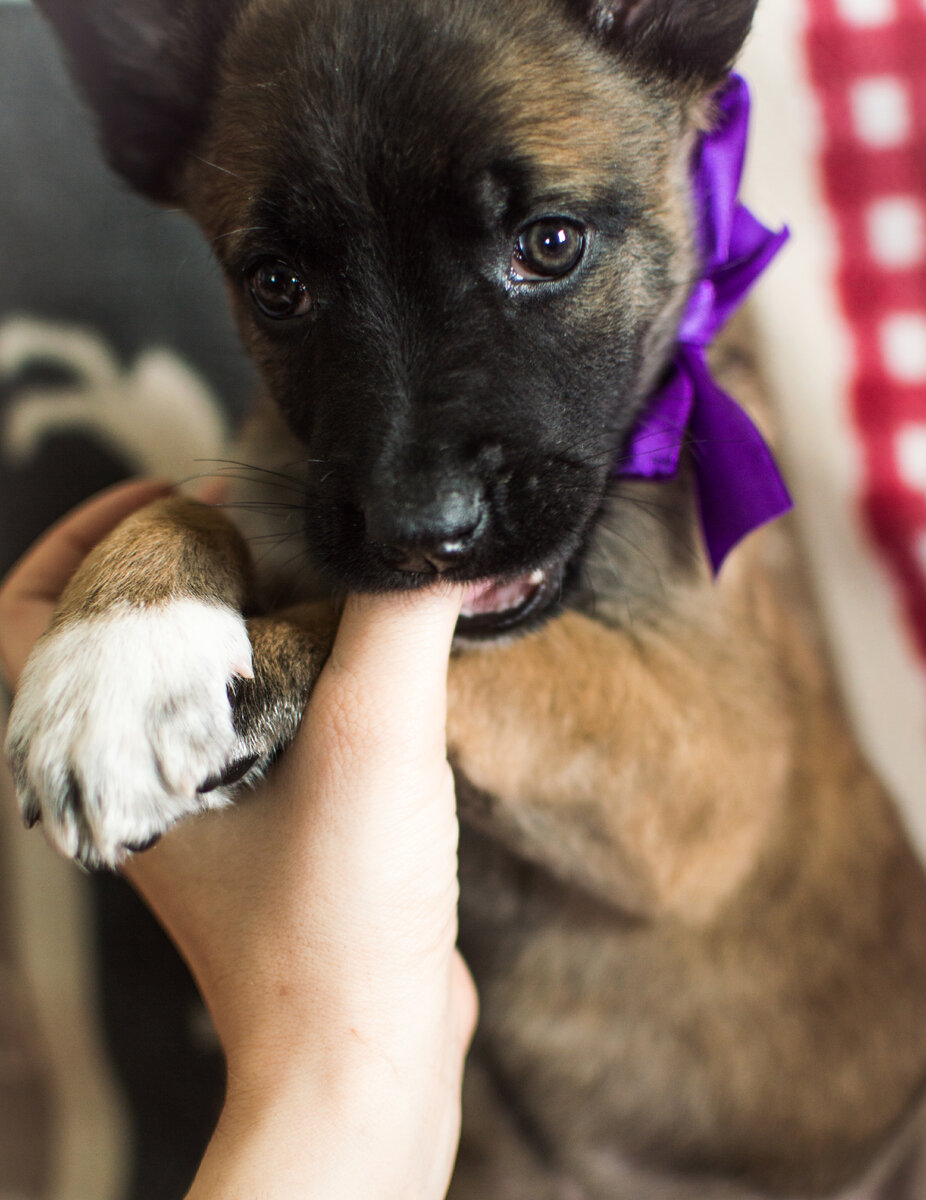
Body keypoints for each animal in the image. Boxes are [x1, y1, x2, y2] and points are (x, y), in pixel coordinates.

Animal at [10, 2, 926, 1200]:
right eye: (277, 286)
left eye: (550, 244)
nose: (419, 529)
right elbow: (191, 510)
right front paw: (117, 650)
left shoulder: (721, 756)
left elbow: (459, 645)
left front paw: (179, 671)